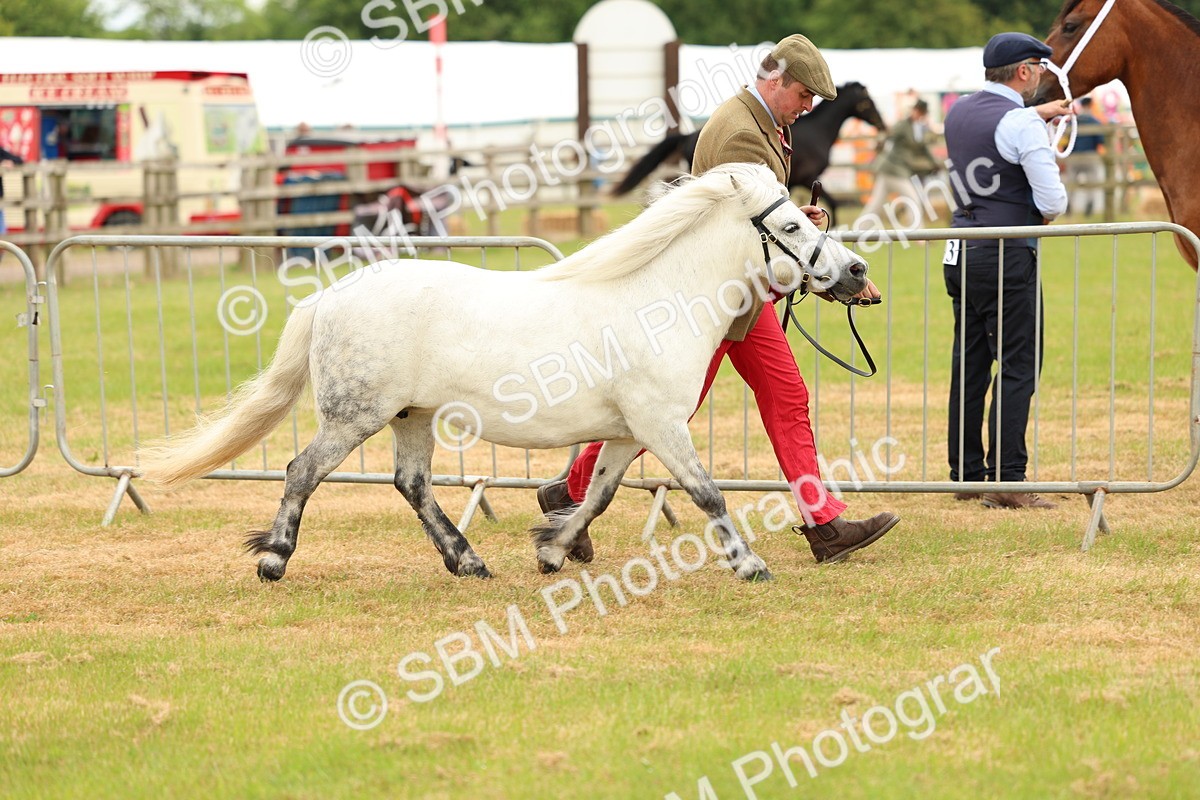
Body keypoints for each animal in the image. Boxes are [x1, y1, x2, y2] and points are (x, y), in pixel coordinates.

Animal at [137, 163, 870, 584]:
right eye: (791, 225)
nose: (856, 272)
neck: (657, 300)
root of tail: (330, 296)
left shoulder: (630, 432)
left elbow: (597, 496)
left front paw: (551, 552)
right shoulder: (661, 426)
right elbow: (708, 495)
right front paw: (750, 565)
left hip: (410, 417)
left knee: (411, 484)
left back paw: (468, 561)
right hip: (355, 416)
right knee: (301, 472)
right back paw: (273, 560)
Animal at [611, 82, 888, 224]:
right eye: (868, 102)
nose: (883, 125)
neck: (819, 130)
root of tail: (689, 135)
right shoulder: (807, 178)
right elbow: (832, 201)